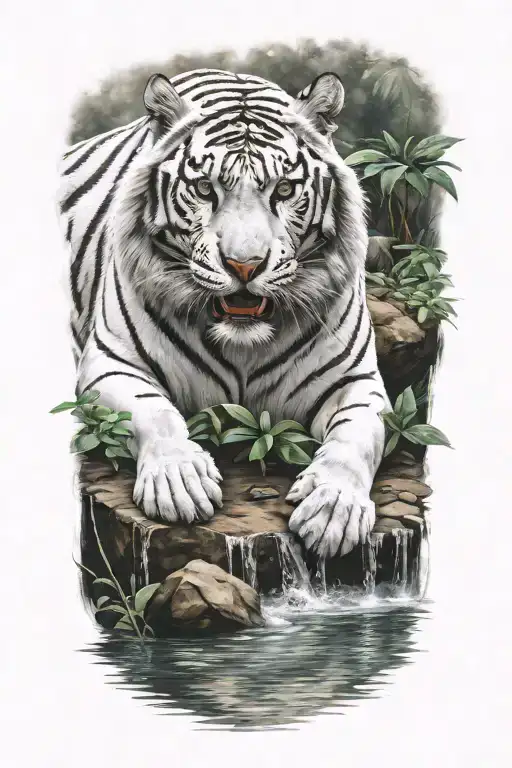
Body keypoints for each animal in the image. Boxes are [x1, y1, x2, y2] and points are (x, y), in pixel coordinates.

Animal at [58, 68, 390, 560]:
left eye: (284, 190)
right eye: (203, 189)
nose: (244, 265)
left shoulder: (354, 380)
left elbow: (357, 438)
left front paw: (333, 509)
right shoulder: (110, 362)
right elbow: (153, 411)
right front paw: (179, 482)